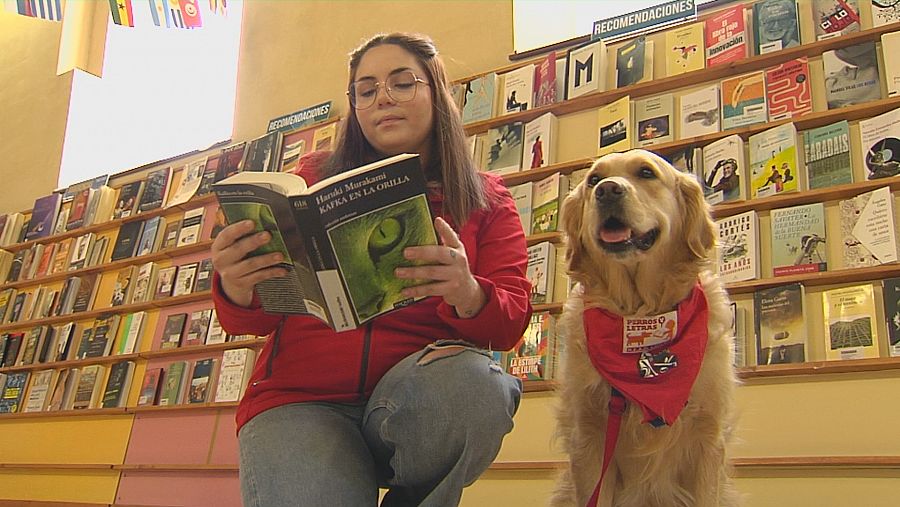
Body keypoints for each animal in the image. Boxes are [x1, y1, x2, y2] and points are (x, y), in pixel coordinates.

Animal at [548, 149, 740, 506]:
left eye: (646, 173)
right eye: (594, 179)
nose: (607, 190)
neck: (639, 313)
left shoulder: (707, 436)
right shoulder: (590, 437)